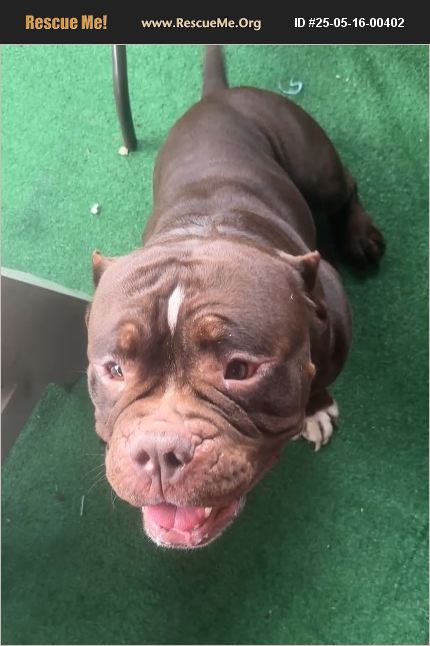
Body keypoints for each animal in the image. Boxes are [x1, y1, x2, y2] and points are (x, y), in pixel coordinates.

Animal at [86, 46, 384, 549]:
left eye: (240, 369)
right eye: (114, 369)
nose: (159, 451)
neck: (202, 230)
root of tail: (219, 95)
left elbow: (320, 379)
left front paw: (316, 407)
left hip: (313, 161)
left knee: (346, 186)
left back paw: (361, 236)